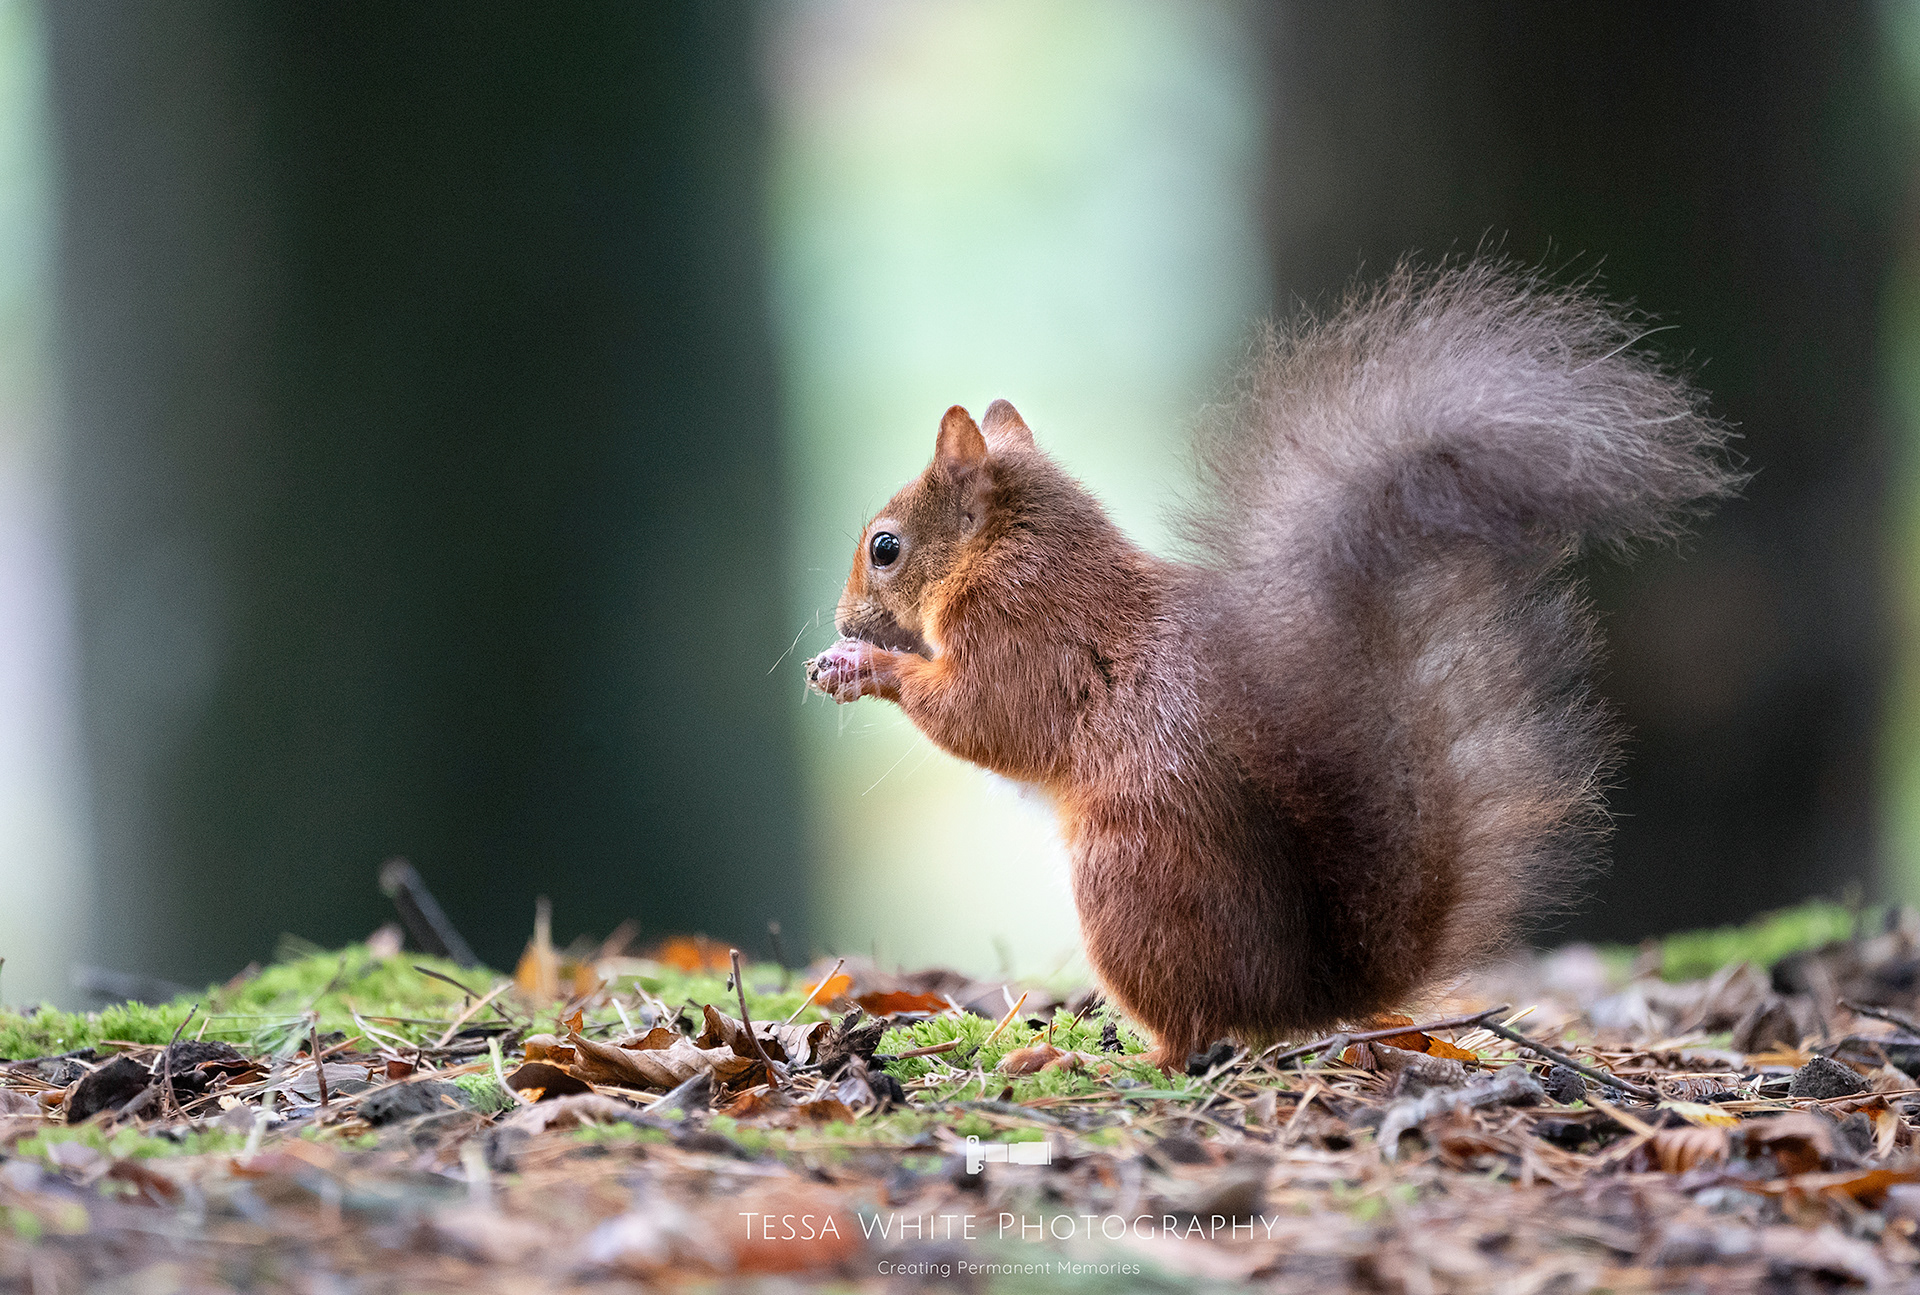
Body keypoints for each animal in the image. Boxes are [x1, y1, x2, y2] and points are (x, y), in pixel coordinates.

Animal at [805, 261, 1739, 1069]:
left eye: (885, 547)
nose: (846, 620)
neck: (1011, 551)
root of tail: (1304, 997)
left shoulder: (1023, 634)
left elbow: (984, 718)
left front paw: (865, 666)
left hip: (1127, 887)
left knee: (1189, 1030)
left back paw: (1097, 1057)